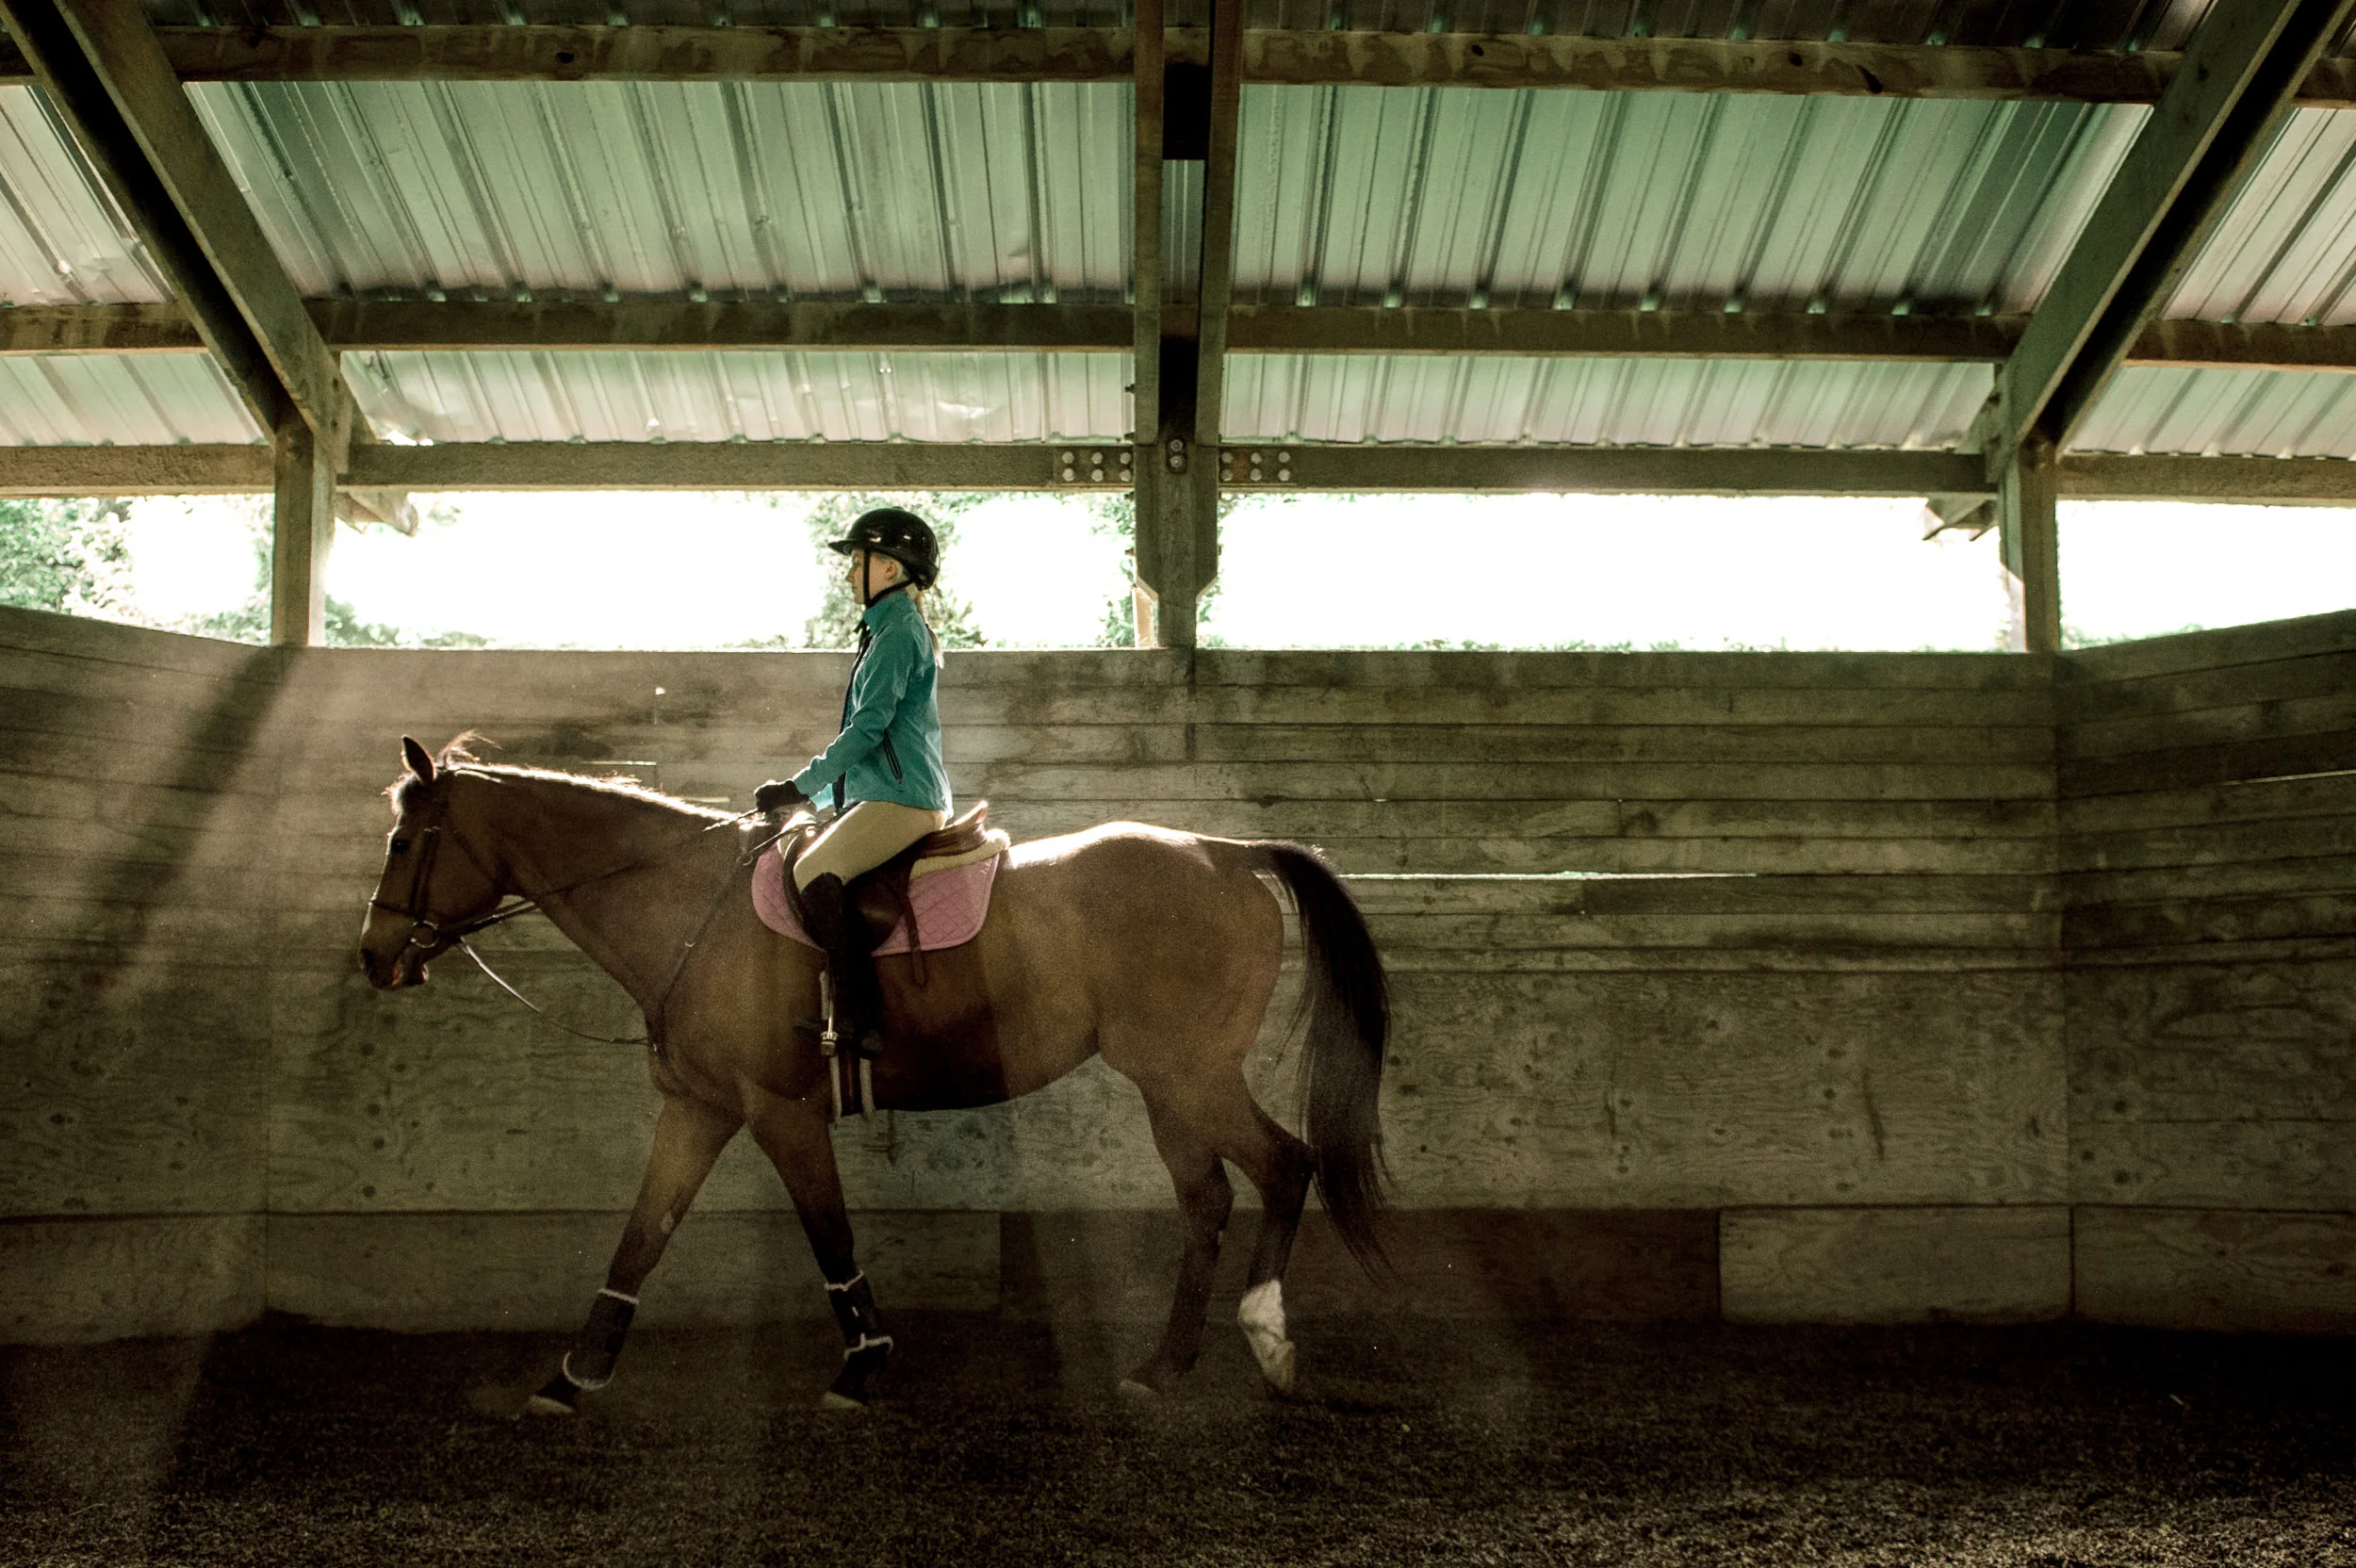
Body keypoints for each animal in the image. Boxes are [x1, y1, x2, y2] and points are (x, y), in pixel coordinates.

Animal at [358, 736, 1390, 1412]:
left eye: (406, 843)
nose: (372, 957)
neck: (689, 906)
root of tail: (1224, 851)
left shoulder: (780, 1110)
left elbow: (828, 1234)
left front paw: (863, 1361)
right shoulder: (697, 1107)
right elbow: (641, 1237)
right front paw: (575, 1375)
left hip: (1188, 1073)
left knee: (1285, 1165)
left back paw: (1267, 1338)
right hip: (1166, 1082)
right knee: (1206, 1200)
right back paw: (1162, 1367)